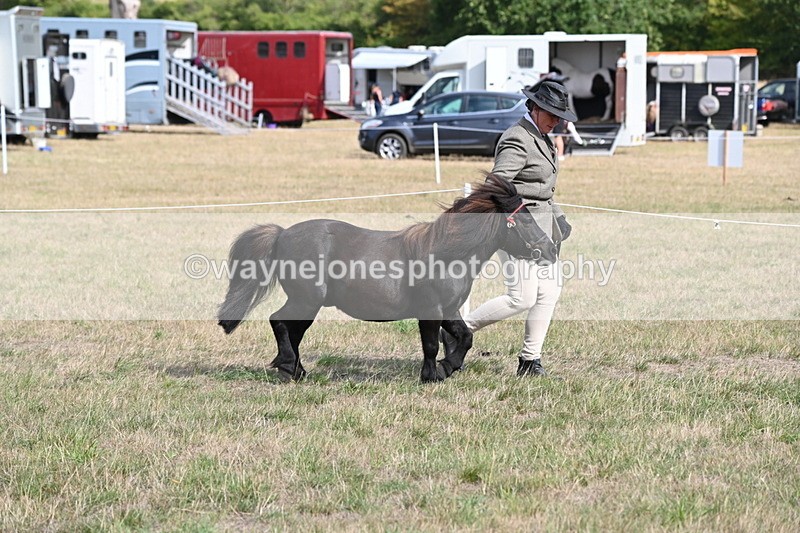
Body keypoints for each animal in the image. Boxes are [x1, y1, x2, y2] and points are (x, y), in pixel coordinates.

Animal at [217, 175, 558, 383]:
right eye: (524, 220)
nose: (550, 249)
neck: (445, 254)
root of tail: (282, 235)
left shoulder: (449, 310)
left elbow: (465, 337)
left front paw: (447, 368)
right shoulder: (430, 310)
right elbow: (430, 344)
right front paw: (432, 374)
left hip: (308, 303)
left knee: (292, 331)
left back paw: (296, 370)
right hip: (306, 300)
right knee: (279, 322)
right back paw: (290, 367)